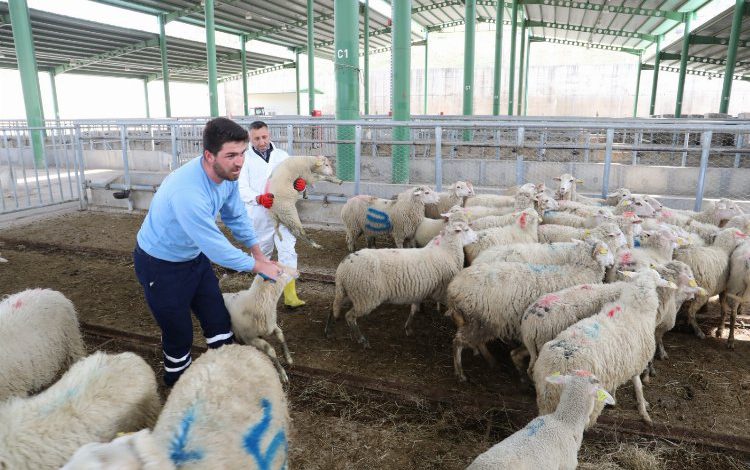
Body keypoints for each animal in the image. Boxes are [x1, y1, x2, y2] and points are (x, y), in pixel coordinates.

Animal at [328, 218, 478, 346]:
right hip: (365, 296)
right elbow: (453, 311)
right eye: (466, 229)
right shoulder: (442, 292)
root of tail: (342, 269)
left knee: (335, 306)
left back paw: (330, 326)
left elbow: (414, 309)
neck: (446, 251)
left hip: (350, 292)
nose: (477, 237)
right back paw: (361, 339)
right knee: (350, 316)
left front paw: (408, 327)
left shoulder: (419, 291)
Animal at [536, 268, 676, 426]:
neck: (636, 308)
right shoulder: (636, 361)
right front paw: (644, 411)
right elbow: (638, 386)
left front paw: (614, 397)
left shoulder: (620, 364)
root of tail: (559, 363)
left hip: (545, 399)